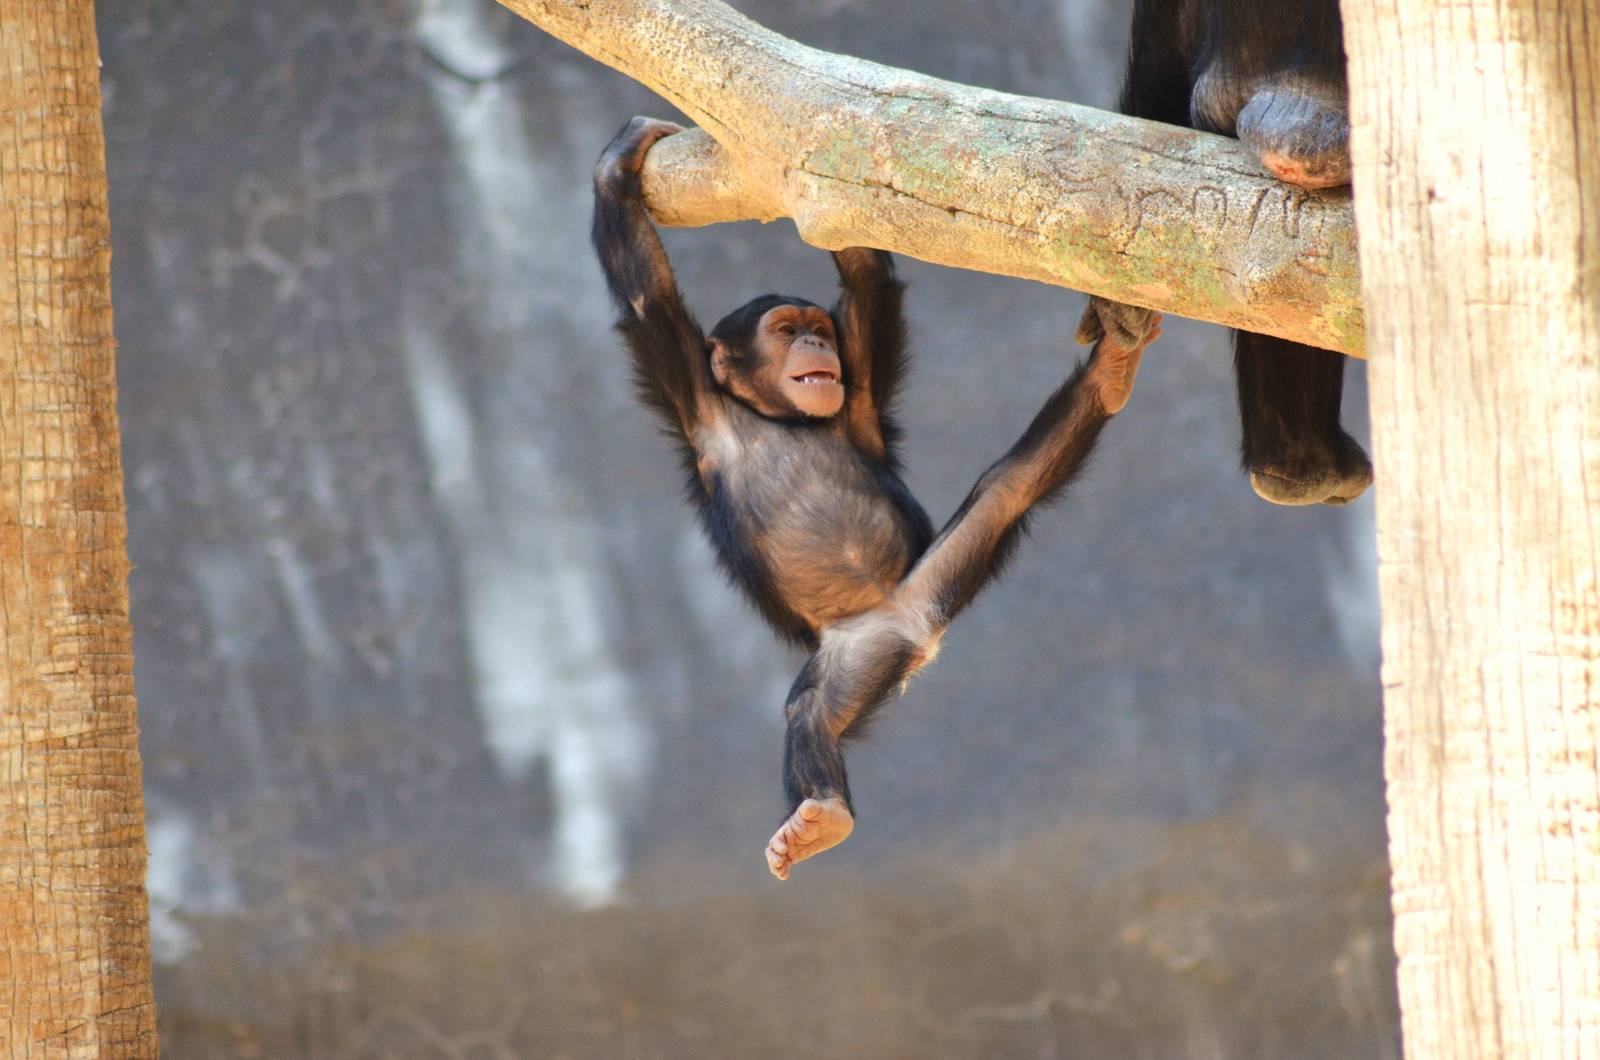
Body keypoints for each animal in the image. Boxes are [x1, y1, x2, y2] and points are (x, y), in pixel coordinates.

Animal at [592, 116, 1161, 879]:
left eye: (820, 328)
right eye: (784, 330)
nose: (812, 341)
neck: (781, 417)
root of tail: (918, 634)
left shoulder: (857, 390)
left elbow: (865, 269)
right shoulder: (691, 398)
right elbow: (645, 295)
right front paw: (619, 164)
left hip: (942, 570)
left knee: (1010, 485)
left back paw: (1109, 373)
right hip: (856, 653)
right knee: (811, 712)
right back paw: (824, 814)